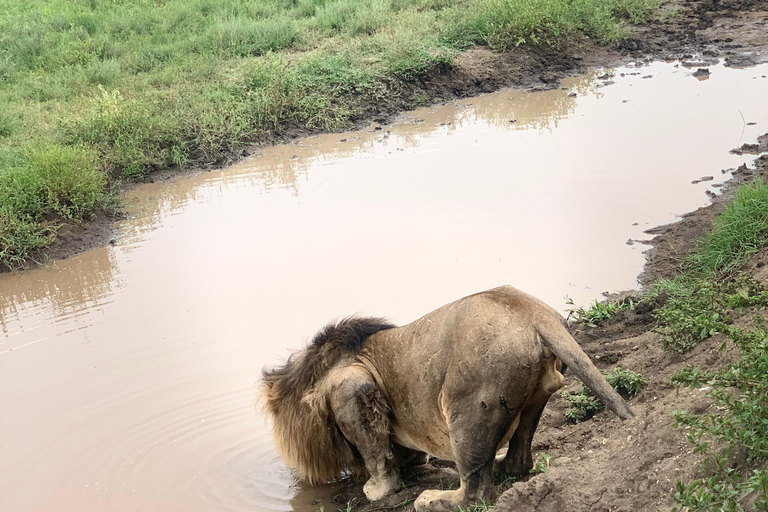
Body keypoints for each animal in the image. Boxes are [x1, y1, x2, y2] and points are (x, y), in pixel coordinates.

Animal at [260, 286, 632, 510]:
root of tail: (531, 311)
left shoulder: (352, 386)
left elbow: (375, 453)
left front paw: (378, 489)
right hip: (536, 394)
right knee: (518, 458)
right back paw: (504, 465)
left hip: (469, 407)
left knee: (475, 492)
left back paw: (433, 499)